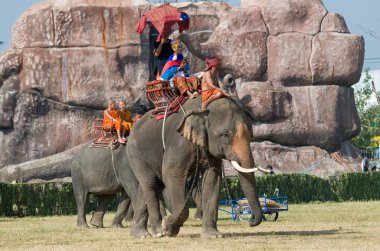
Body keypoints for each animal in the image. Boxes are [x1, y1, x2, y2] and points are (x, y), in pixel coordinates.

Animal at [126, 95, 262, 237]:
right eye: (225, 134)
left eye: (251, 134)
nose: (251, 221)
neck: (204, 108)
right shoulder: (179, 141)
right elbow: (171, 173)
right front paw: (168, 227)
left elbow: (212, 177)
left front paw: (213, 235)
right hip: (135, 154)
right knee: (150, 184)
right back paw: (158, 231)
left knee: (149, 185)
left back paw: (140, 234)